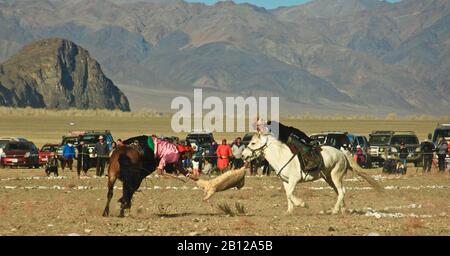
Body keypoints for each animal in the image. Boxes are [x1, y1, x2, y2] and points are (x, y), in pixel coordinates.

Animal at [241, 132, 382, 214]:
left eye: (253, 143)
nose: (243, 155)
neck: (281, 156)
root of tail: (342, 153)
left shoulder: (294, 180)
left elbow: (290, 194)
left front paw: (302, 204)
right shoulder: (286, 181)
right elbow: (287, 194)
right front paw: (289, 210)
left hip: (335, 176)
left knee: (341, 191)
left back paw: (335, 210)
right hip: (329, 178)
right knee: (340, 191)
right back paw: (342, 209)